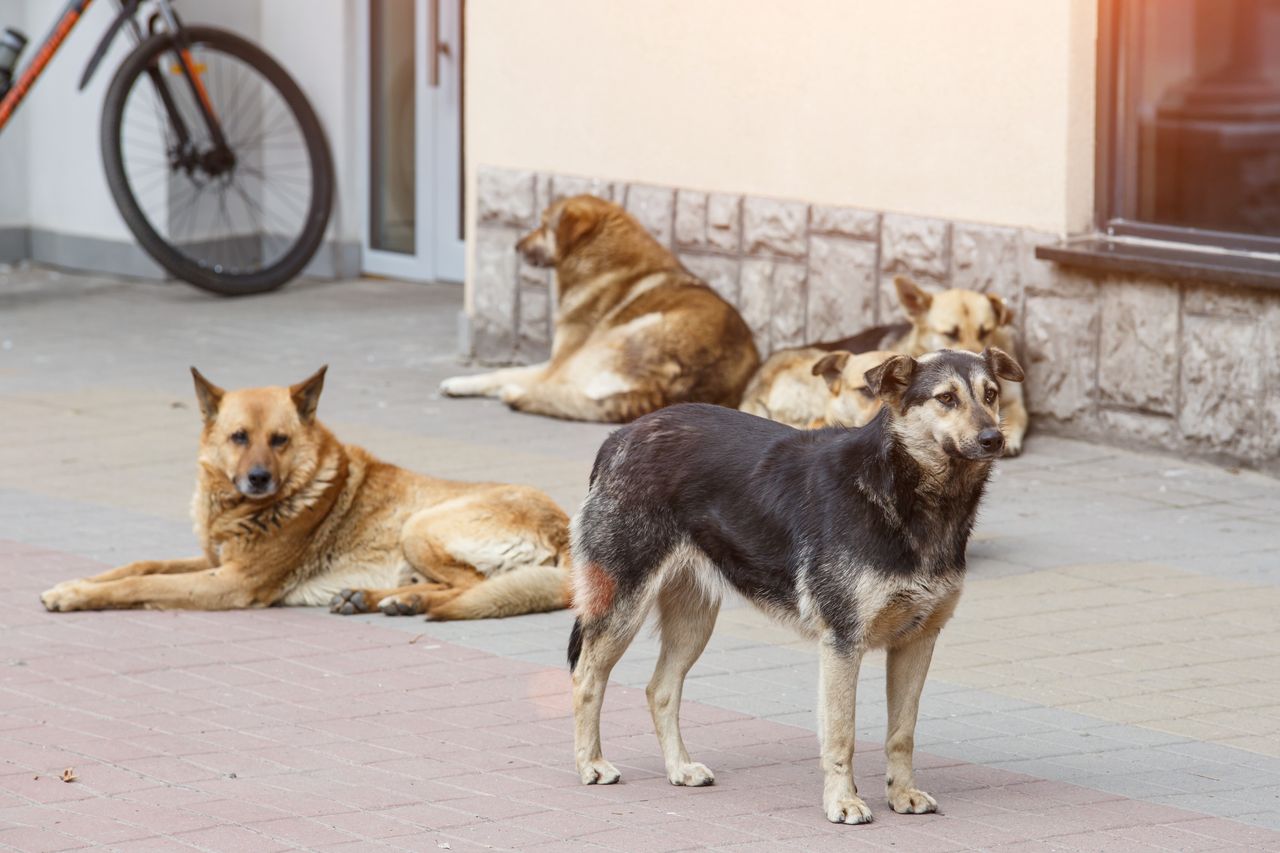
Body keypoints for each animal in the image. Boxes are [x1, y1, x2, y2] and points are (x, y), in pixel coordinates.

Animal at [40, 366, 570, 617]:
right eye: (238, 437)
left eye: (279, 440)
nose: (258, 479)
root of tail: (563, 527)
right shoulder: (213, 560)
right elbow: (139, 565)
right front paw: (76, 582)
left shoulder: (230, 582)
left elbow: (141, 584)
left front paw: (77, 596)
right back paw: (378, 599)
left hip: (419, 526)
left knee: (473, 586)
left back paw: (403, 603)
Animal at [440, 190, 757, 420]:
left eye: (543, 225)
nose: (517, 246)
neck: (603, 261)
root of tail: (666, 392)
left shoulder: (560, 361)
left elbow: (504, 372)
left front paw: (459, 382)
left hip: (603, 345)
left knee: (550, 389)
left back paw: (515, 393)